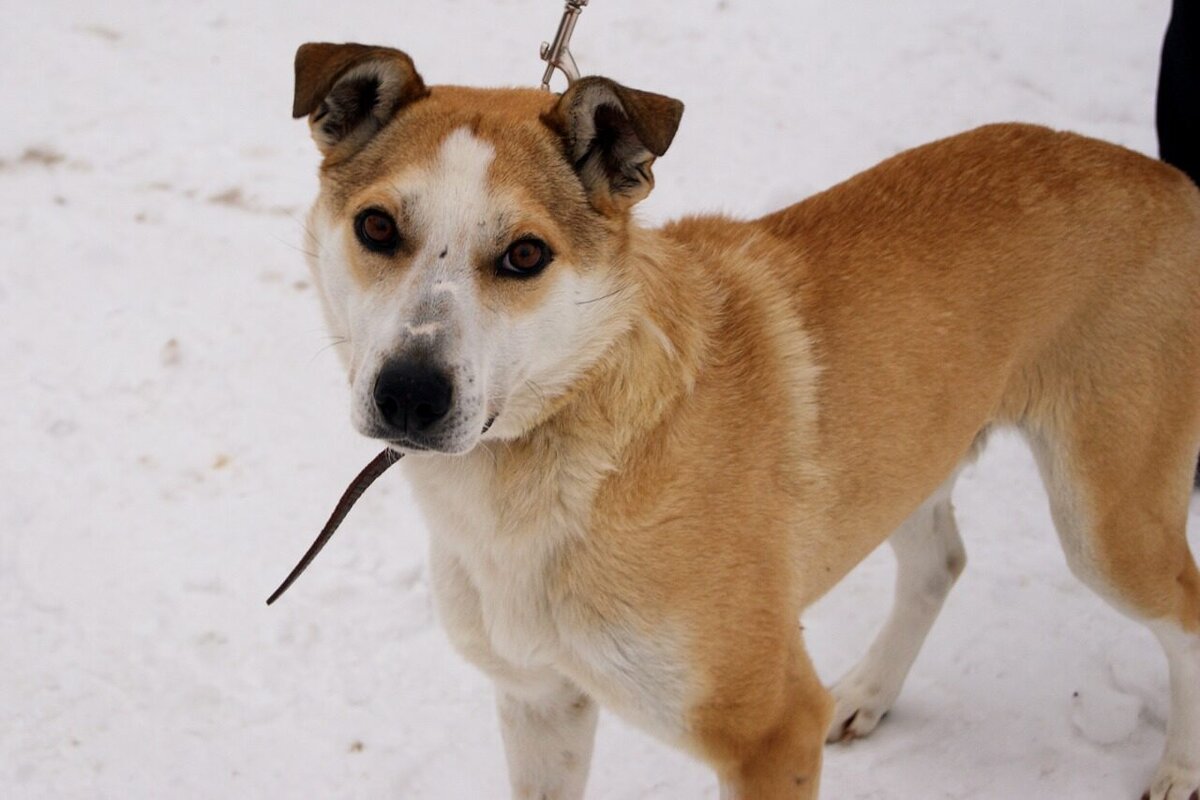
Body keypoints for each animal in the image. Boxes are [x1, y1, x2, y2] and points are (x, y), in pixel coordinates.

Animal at [290, 43, 1200, 800]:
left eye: (524, 255)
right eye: (377, 226)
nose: (410, 394)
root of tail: (1168, 181)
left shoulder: (770, 731)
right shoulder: (540, 701)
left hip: (1106, 521)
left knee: (1185, 609)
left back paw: (1181, 770)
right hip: (906, 450)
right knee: (940, 560)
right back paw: (868, 692)